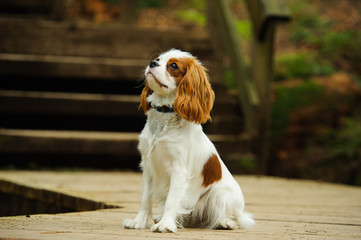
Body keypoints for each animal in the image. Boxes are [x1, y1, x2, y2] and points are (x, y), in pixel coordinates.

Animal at [122, 49, 252, 232]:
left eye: (173, 66)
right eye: (157, 59)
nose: (152, 63)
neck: (164, 114)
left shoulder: (178, 169)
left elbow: (171, 200)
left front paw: (166, 225)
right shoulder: (148, 166)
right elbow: (145, 198)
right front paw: (138, 222)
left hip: (221, 195)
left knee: (237, 219)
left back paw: (225, 222)